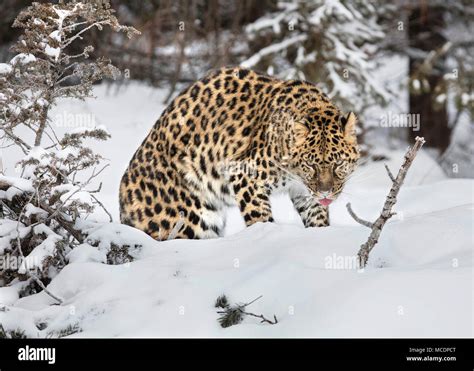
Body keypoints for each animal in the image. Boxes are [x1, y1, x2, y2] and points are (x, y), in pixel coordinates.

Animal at [119, 67, 360, 241]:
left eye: (339, 163)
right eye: (310, 165)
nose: (325, 193)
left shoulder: (304, 192)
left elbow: (317, 216)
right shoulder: (245, 175)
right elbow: (260, 216)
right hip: (188, 221)